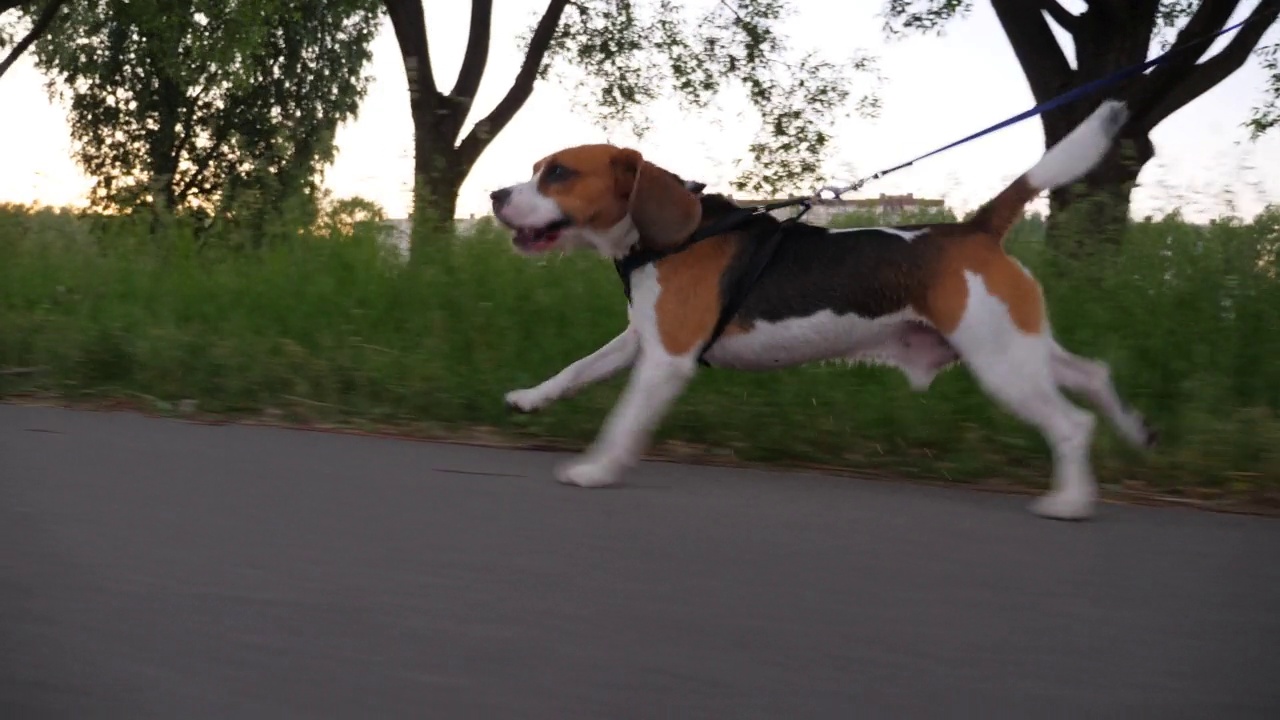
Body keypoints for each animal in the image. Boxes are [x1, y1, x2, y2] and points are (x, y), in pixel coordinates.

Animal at [488, 99, 1152, 515]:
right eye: (535, 170)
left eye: (559, 173)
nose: (494, 194)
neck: (673, 235)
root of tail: (973, 229)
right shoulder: (643, 339)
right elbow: (577, 370)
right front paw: (531, 398)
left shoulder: (667, 359)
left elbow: (622, 420)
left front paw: (596, 469)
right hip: (1016, 345)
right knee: (1094, 374)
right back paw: (1135, 430)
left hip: (1001, 361)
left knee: (1072, 423)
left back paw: (1070, 501)